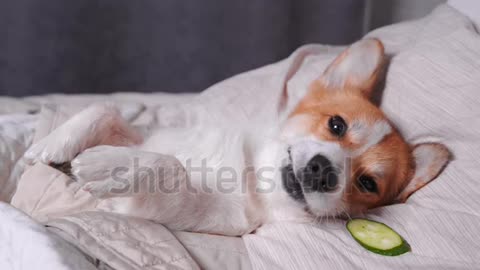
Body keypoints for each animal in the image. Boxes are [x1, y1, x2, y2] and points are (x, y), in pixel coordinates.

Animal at [23, 38, 450, 236]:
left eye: (367, 183)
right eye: (336, 125)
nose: (323, 171)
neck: (251, 170)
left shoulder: (203, 211)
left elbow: (168, 167)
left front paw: (113, 166)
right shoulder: (145, 136)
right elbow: (104, 109)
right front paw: (49, 145)